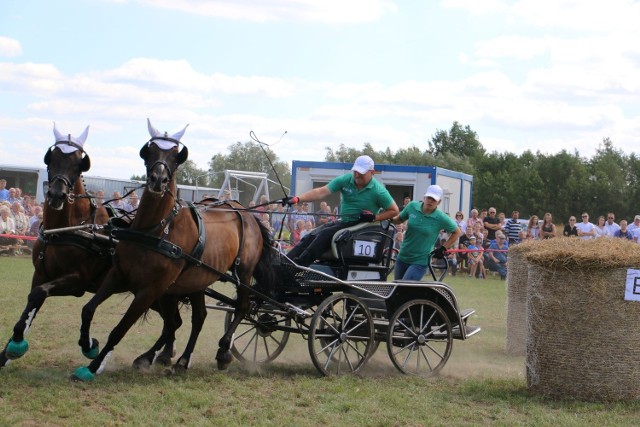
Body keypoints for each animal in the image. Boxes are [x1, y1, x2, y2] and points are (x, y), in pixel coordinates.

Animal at [0, 124, 185, 372]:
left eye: (79, 163)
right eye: (52, 158)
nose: (57, 194)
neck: (66, 229)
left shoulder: (77, 281)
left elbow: (40, 294)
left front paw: (89, 345)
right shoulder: (40, 275)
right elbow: (32, 301)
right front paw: (10, 349)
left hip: (160, 293)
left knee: (174, 322)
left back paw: (158, 355)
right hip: (156, 297)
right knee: (173, 322)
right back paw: (163, 354)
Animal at [73, 119, 272, 382]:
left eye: (176, 157)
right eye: (148, 152)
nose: (158, 180)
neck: (155, 230)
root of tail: (248, 214)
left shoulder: (150, 290)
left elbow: (120, 330)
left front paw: (92, 366)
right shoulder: (118, 275)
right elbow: (88, 309)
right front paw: (88, 345)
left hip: (245, 273)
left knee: (242, 307)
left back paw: (222, 351)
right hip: (198, 279)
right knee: (199, 317)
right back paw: (182, 360)